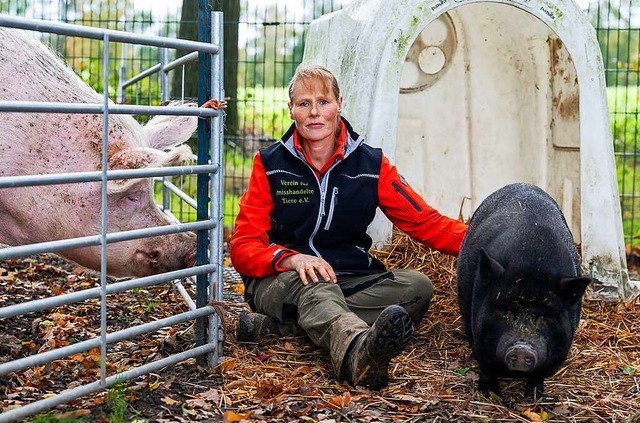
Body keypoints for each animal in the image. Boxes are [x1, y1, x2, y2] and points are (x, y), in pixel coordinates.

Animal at [458, 184, 592, 400]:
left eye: (547, 317)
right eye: (506, 311)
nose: (522, 349)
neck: (533, 262)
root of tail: (522, 184)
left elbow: (539, 375)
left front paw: (535, 396)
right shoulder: (478, 332)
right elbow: (486, 367)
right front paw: (489, 393)